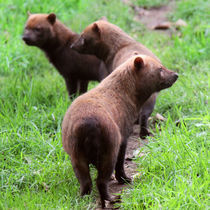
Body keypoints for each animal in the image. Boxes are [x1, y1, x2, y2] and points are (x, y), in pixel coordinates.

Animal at [61, 54, 178, 208]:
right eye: (160, 68)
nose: (175, 74)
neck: (124, 94)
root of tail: (86, 123)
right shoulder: (123, 136)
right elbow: (121, 161)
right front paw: (125, 179)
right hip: (108, 150)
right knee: (101, 180)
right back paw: (113, 198)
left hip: (76, 155)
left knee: (86, 183)